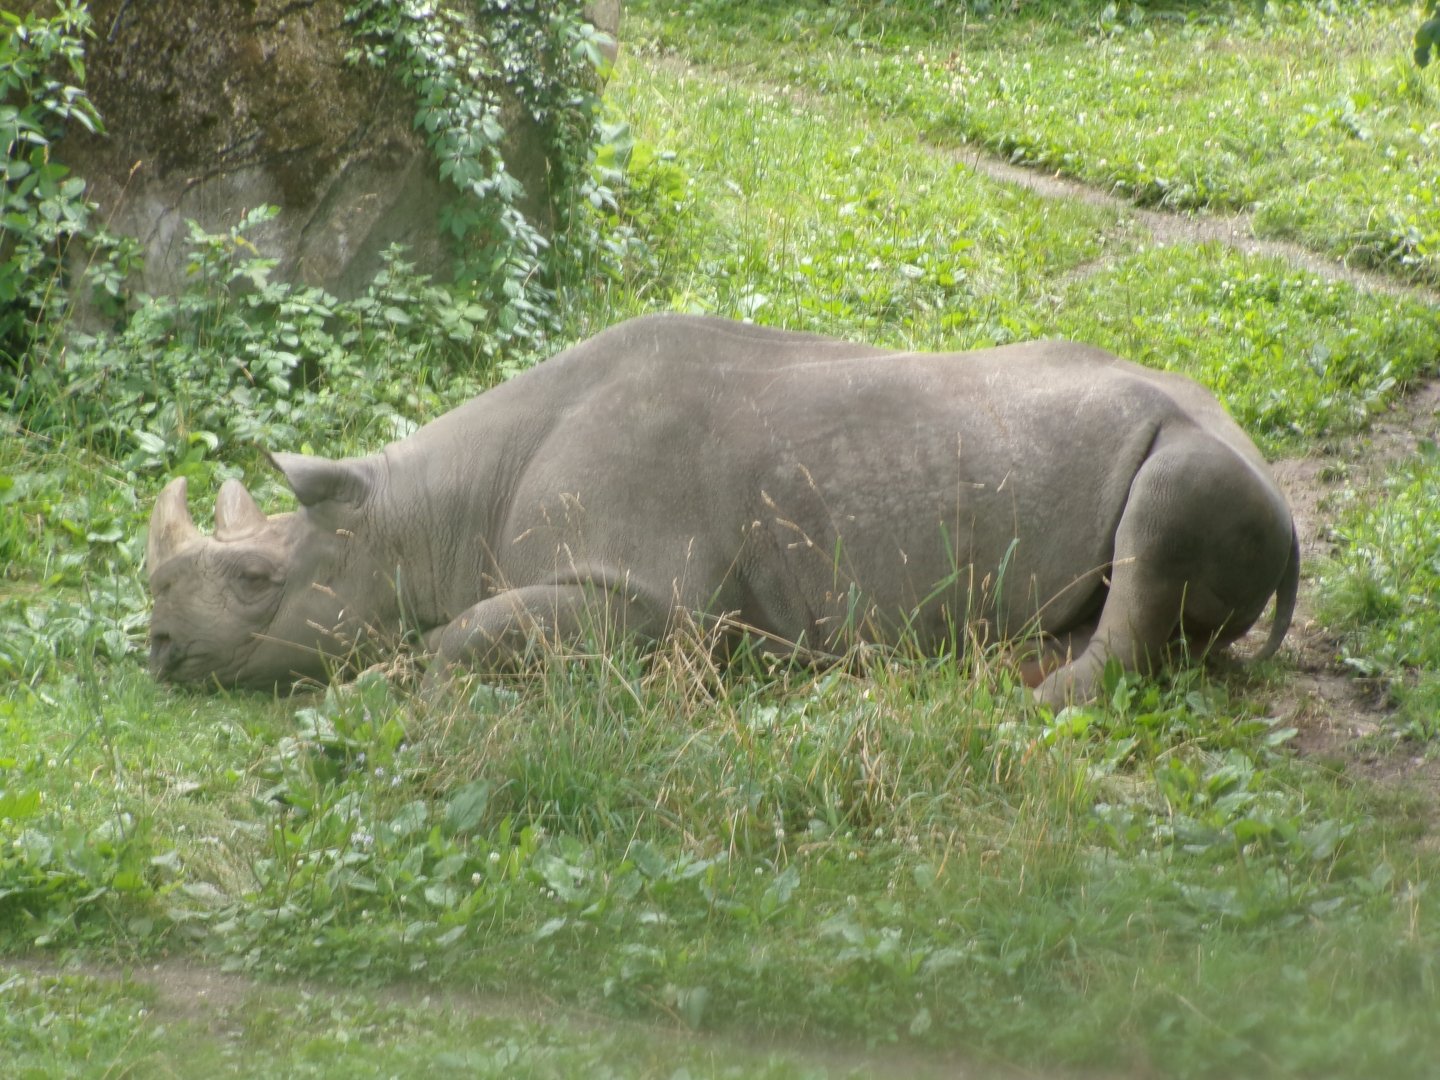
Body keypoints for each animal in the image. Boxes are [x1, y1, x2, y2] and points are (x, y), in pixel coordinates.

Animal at [147, 313, 1298, 706]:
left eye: (257, 582)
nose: (157, 650)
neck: (429, 510)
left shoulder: (653, 606)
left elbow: (464, 634)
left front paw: (371, 692)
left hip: (1205, 456)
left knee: (1165, 514)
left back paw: (1037, 698)